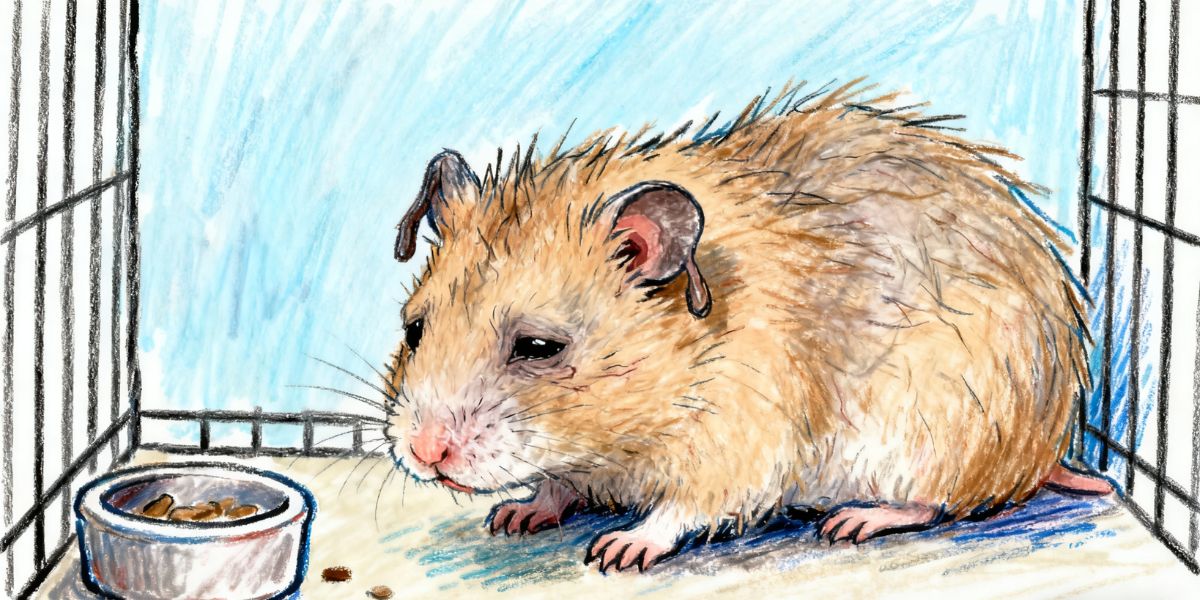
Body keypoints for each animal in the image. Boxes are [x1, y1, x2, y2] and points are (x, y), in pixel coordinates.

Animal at [383, 79, 1112, 573]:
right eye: (414, 330)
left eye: (537, 347)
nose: (424, 453)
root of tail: (1042, 453)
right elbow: (558, 480)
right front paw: (518, 512)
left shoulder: (740, 433)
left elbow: (688, 506)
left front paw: (621, 546)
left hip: (933, 436)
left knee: (937, 503)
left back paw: (854, 520)